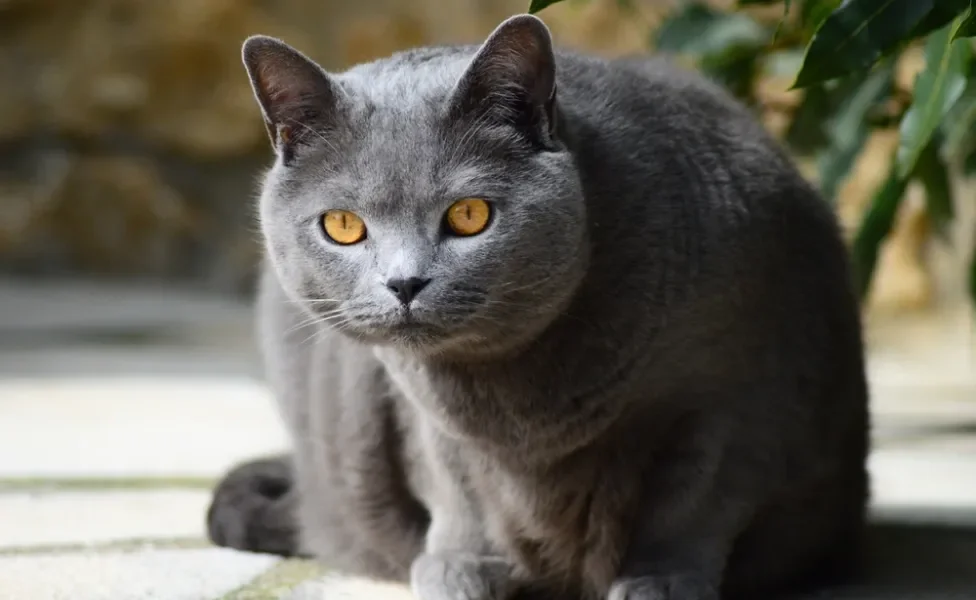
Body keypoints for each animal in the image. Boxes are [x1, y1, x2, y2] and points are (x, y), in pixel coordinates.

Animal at [208, 12, 868, 600]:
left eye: (469, 215)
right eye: (343, 226)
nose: (404, 282)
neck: (514, 407)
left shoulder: (734, 394)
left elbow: (694, 502)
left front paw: (660, 581)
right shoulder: (422, 416)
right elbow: (454, 487)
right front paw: (459, 568)